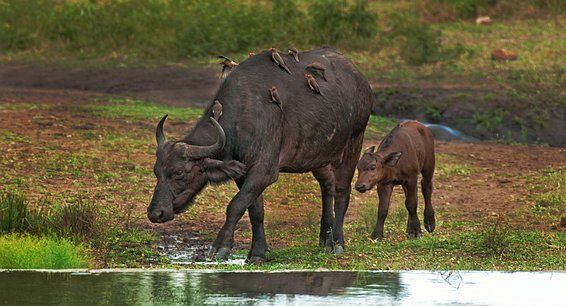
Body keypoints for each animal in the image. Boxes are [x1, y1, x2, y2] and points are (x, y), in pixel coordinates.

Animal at [149, 47, 374, 262]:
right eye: (156, 172)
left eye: (179, 173)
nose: (155, 213)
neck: (242, 116)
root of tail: (361, 80)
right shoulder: (243, 173)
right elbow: (255, 210)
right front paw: (257, 253)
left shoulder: (263, 171)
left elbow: (235, 205)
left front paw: (220, 247)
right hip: (319, 155)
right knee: (327, 185)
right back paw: (325, 238)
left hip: (354, 142)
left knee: (342, 192)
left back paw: (337, 242)